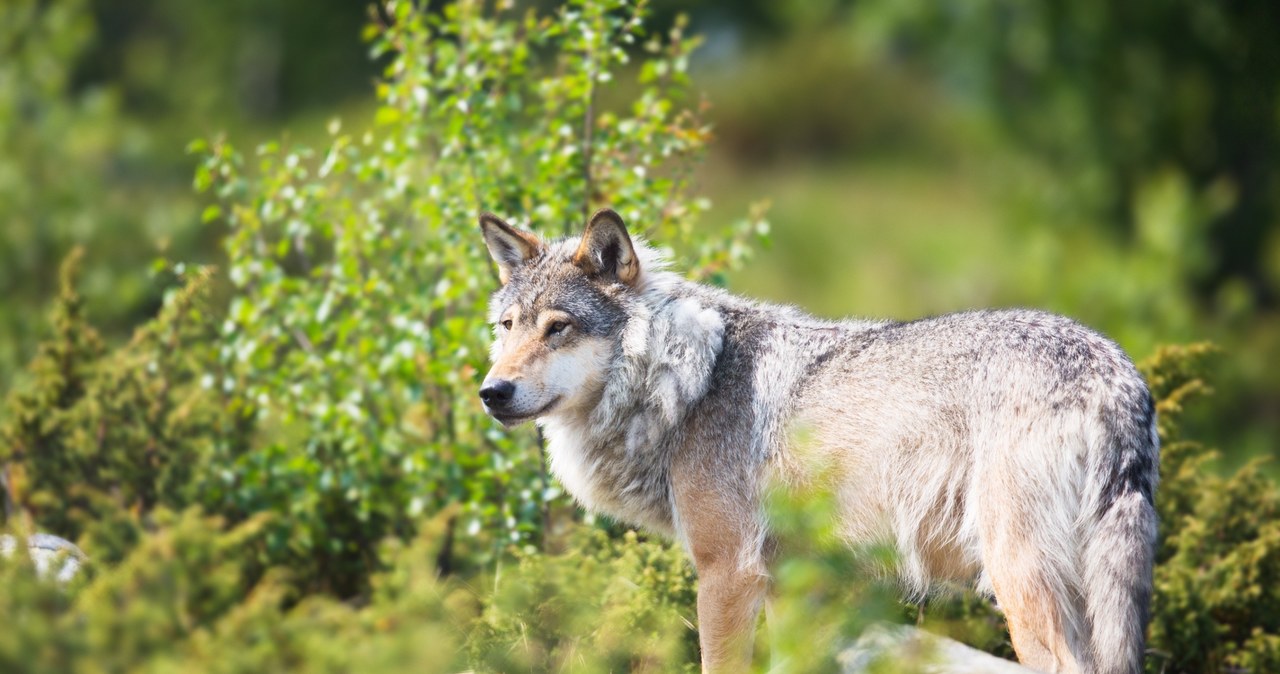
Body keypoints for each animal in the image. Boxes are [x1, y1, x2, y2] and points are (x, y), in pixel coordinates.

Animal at [478, 209, 1162, 674]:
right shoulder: (792, 584)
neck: (686, 379)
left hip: (1017, 582)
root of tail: (1115, 374)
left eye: (558, 328)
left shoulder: (727, 573)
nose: (492, 392)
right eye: (507, 327)